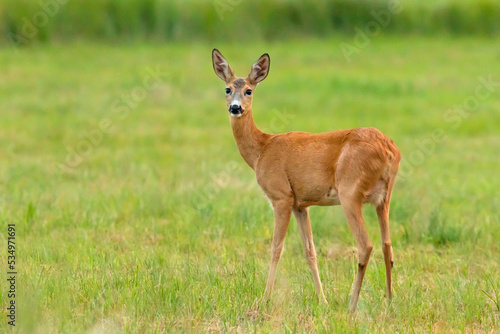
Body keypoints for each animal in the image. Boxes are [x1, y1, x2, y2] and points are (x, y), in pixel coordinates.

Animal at [212, 48, 402, 312]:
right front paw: (322, 300)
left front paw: (264, 298)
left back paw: (352, 304)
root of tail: (390, 150)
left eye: (249, 90)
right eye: (228, 89)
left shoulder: (281, 196)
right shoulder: (300, 204)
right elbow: (310, 251)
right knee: (387, 245)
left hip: (350, 191)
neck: (262, 149)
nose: (235, 108)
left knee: (366, 245)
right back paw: (389, 301)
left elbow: (276, 248)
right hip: (384, 198)